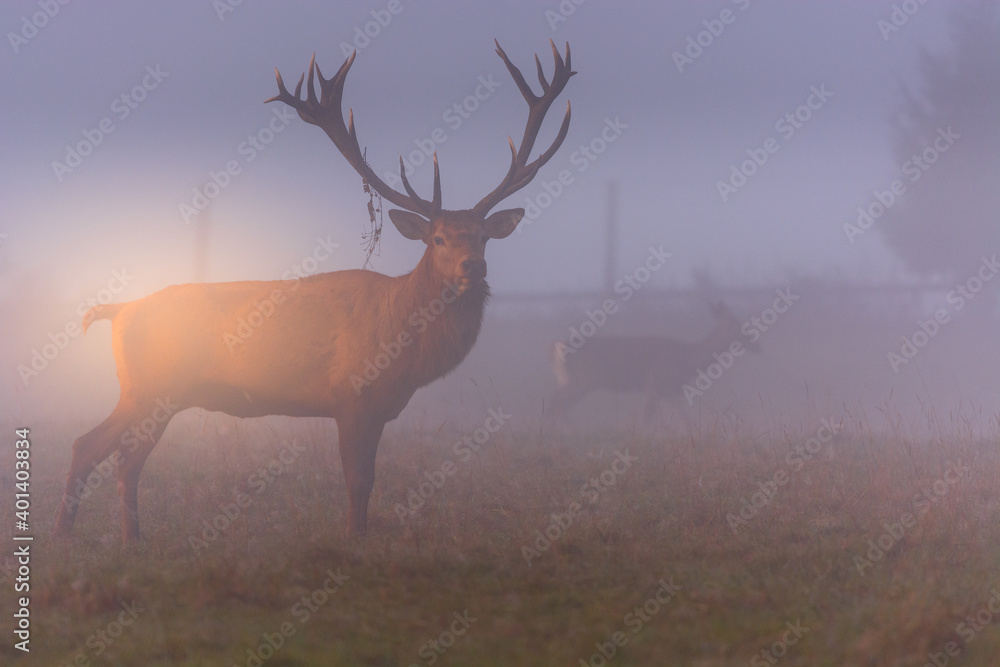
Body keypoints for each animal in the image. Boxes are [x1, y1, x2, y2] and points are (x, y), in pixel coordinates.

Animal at [54, 40, 574, 542]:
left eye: (483, 236)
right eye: (439, 239)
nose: (474, 266)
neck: (403, 340)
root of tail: (118, 310)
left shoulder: (380, 409)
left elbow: (369, 480)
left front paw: (359, 534)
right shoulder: (350, 396)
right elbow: (357, 480)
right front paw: (352, 538)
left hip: (150, 391)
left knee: (95, 449)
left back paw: (94, 536)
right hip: (151, 387)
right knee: (109, 454)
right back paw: (105, 539)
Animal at [547, 302, 761, 428]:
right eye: (736, 326)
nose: (756, 344)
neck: (688, 359)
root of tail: (557, 346)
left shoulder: (672, 390)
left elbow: (686, 419)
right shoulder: (655, 383)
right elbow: (647, 418)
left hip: (574, 378)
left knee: (557, 401)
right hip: (586, 378)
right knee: (557, 399)